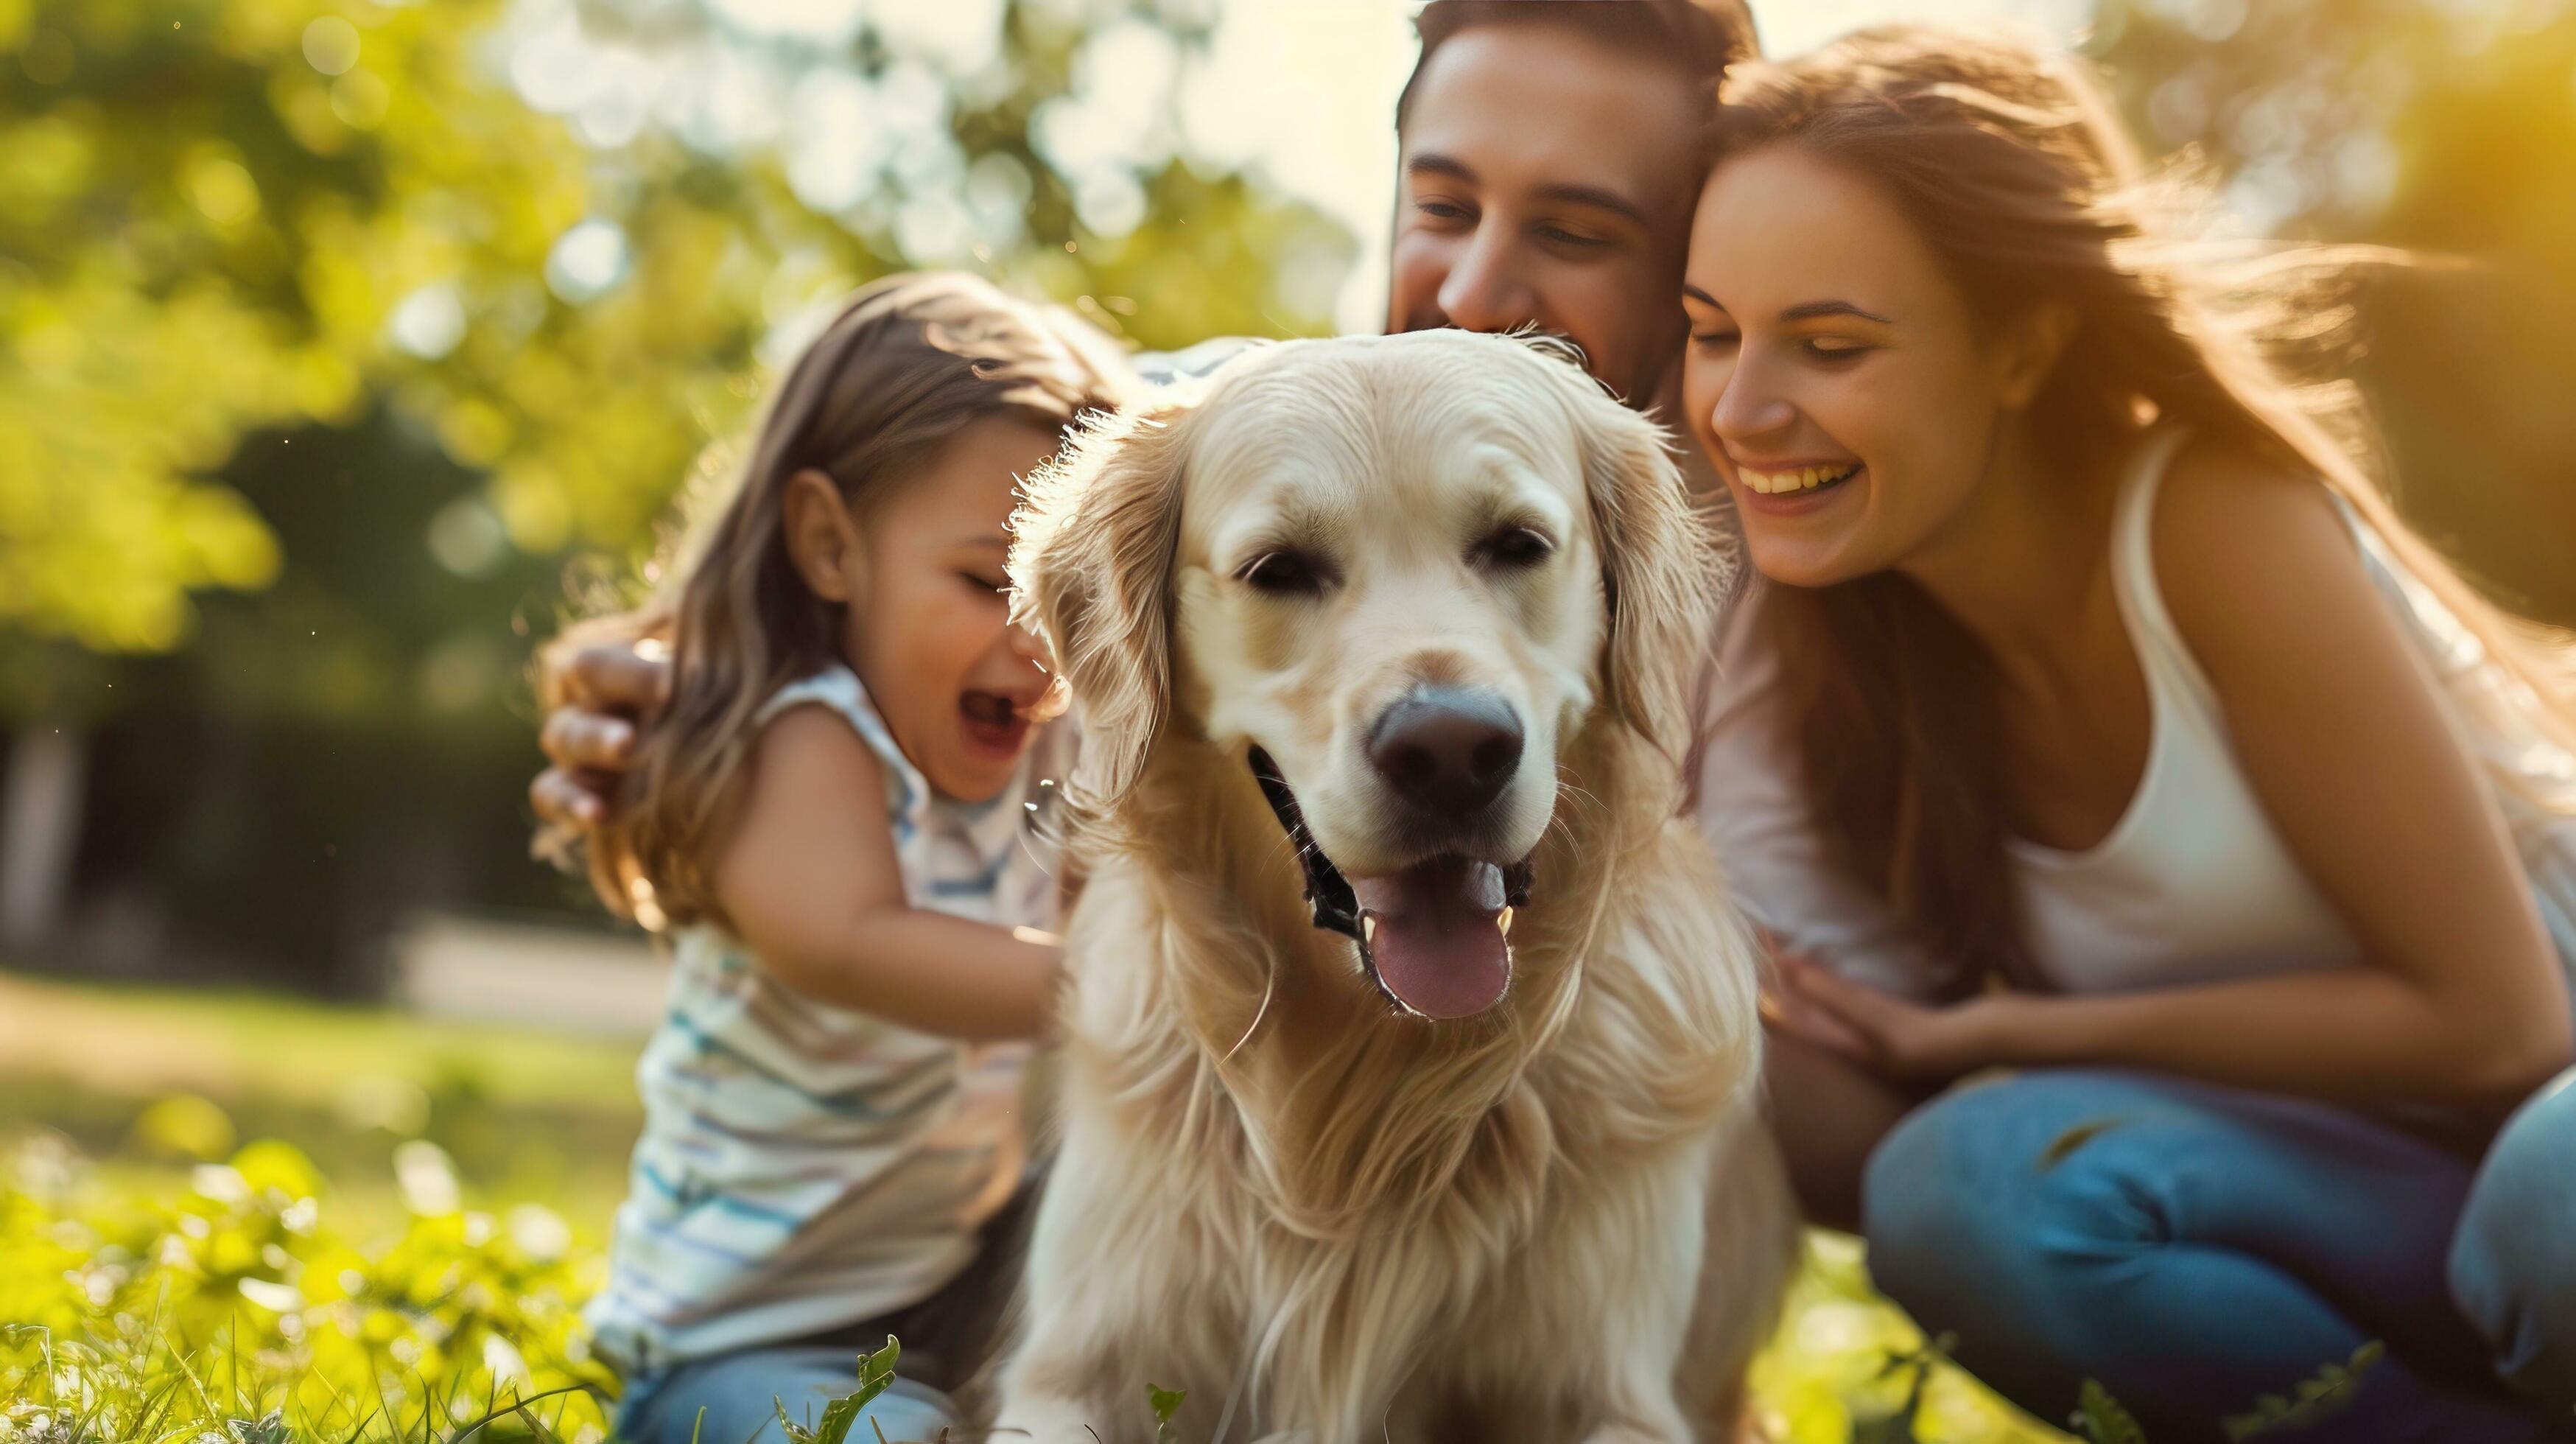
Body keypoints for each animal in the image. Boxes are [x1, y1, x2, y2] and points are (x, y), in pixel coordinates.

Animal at [983, 330, 1792, 1444]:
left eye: (1515, 545)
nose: (1451, 751)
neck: (1374, 1093)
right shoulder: (1078, 1363)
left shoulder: (1609, 1391)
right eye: (1278, 570)